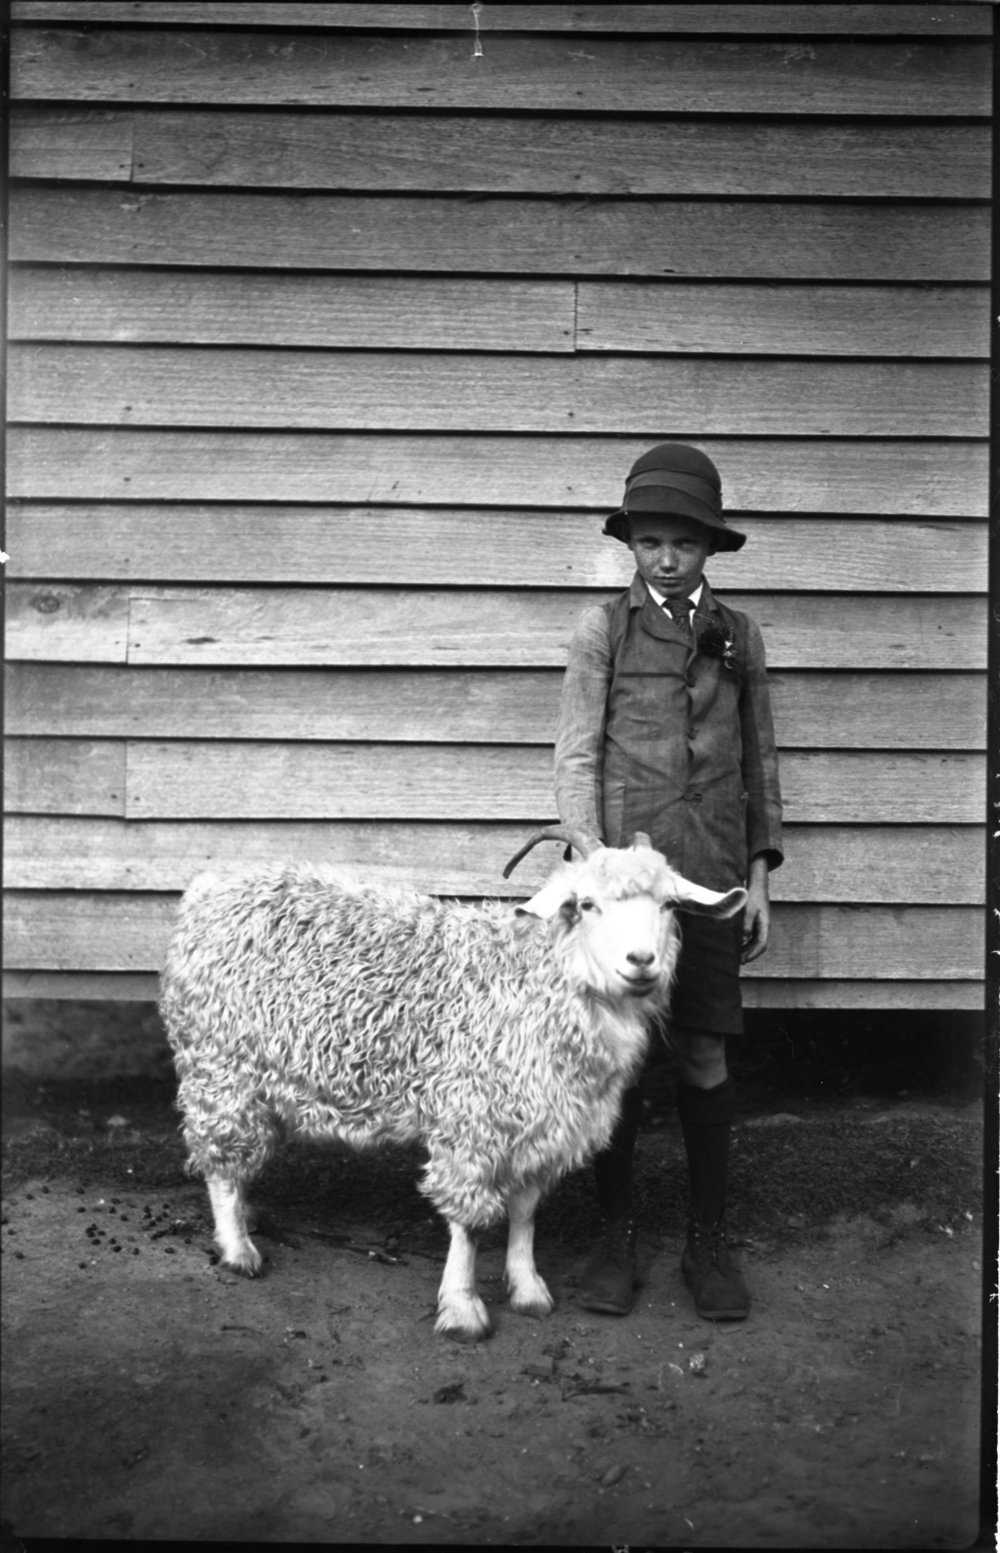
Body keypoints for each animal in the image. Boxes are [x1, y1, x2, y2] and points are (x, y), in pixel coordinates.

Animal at [159, 827, 746, 1341]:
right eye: (585, 905)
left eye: (669, 905)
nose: (641, 961)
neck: (535, 980)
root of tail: (204, 893)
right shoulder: (472, 1121)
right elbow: (468, 1222)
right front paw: (463, 1310)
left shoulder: (541, 1121)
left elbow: (525, 1209)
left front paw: (528, 1288)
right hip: (221, 1067)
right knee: (219, 1160)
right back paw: (238, 1249)